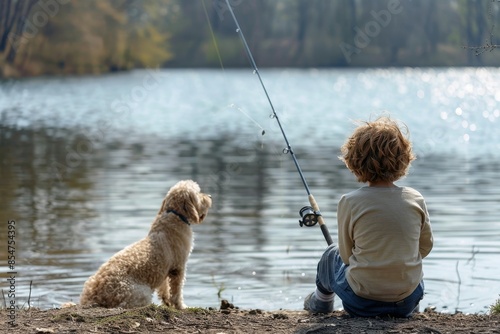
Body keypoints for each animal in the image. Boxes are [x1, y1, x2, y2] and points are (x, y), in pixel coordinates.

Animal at [79, 181, 211, 310]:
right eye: (198, 192)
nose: (209, 197)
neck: (175, 215)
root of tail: (94, 296)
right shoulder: (178, 268)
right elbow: (177, 292)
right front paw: (181, 306)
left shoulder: (166, 269)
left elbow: (164, 288)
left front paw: (166, 301)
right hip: (142, 292)